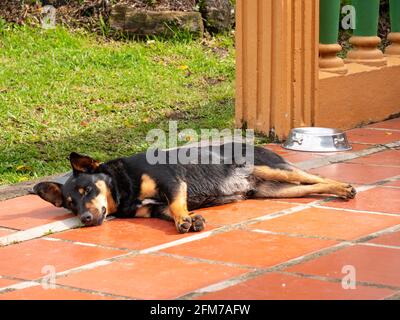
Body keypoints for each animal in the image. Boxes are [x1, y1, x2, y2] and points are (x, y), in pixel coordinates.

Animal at [33, 144, 356, 234]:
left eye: (87, 190)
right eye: (70, 204)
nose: (85, 219)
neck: (124, 188)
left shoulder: (172, 182)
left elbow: (178, 206)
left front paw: (186, 220)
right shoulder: (155, 209)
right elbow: (172, 211)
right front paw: (191, 219)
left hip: (272, 168)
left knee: (314, 177)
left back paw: (344, 187)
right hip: (276, 189)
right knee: (309, 185)